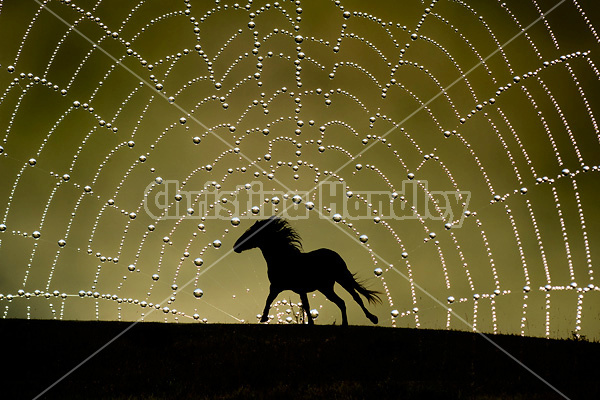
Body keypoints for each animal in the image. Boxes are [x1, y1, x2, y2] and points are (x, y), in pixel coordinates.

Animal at [232, 216, 382, 324]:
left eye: (250, 232)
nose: (235, 246)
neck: (282, 258)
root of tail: (333, 253)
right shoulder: (285, 287)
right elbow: (302, 304)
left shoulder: (280, 287)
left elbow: (271, 300)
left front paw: (263, 318)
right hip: (325, 288)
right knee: (341, 302)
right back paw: (344, 324)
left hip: (342, 278)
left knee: (356, 297)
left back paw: (373, 318)